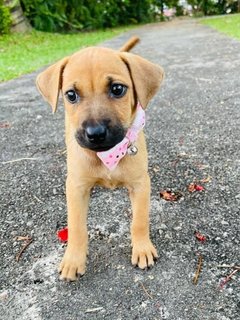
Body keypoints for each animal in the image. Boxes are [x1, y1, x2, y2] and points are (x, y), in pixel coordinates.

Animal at [36, 36, 165, 280]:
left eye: (117, 89)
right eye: (71, 95)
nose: (95, 133)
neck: (107, 154)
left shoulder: (140, 184)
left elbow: (139, 221)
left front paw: (142, 248)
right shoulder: (76, 187)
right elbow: (77, 227)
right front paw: (73, 260)